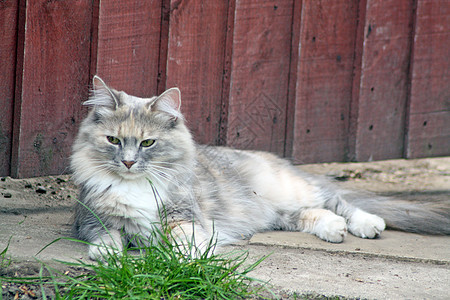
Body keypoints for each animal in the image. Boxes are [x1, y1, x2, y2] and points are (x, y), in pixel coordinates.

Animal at [71, 75, 450, 260]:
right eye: (113, 140)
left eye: (148, 143)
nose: (128, 161)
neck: (137, 185)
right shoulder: (90, 220)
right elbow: (107, 236)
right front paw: (107, 255)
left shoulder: (185, 217)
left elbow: (184, 240)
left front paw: (188, 257)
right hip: (275, 211)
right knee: (311, 214)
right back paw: (334, 229)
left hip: (288, 190)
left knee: (337, 200)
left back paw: (366, 224)